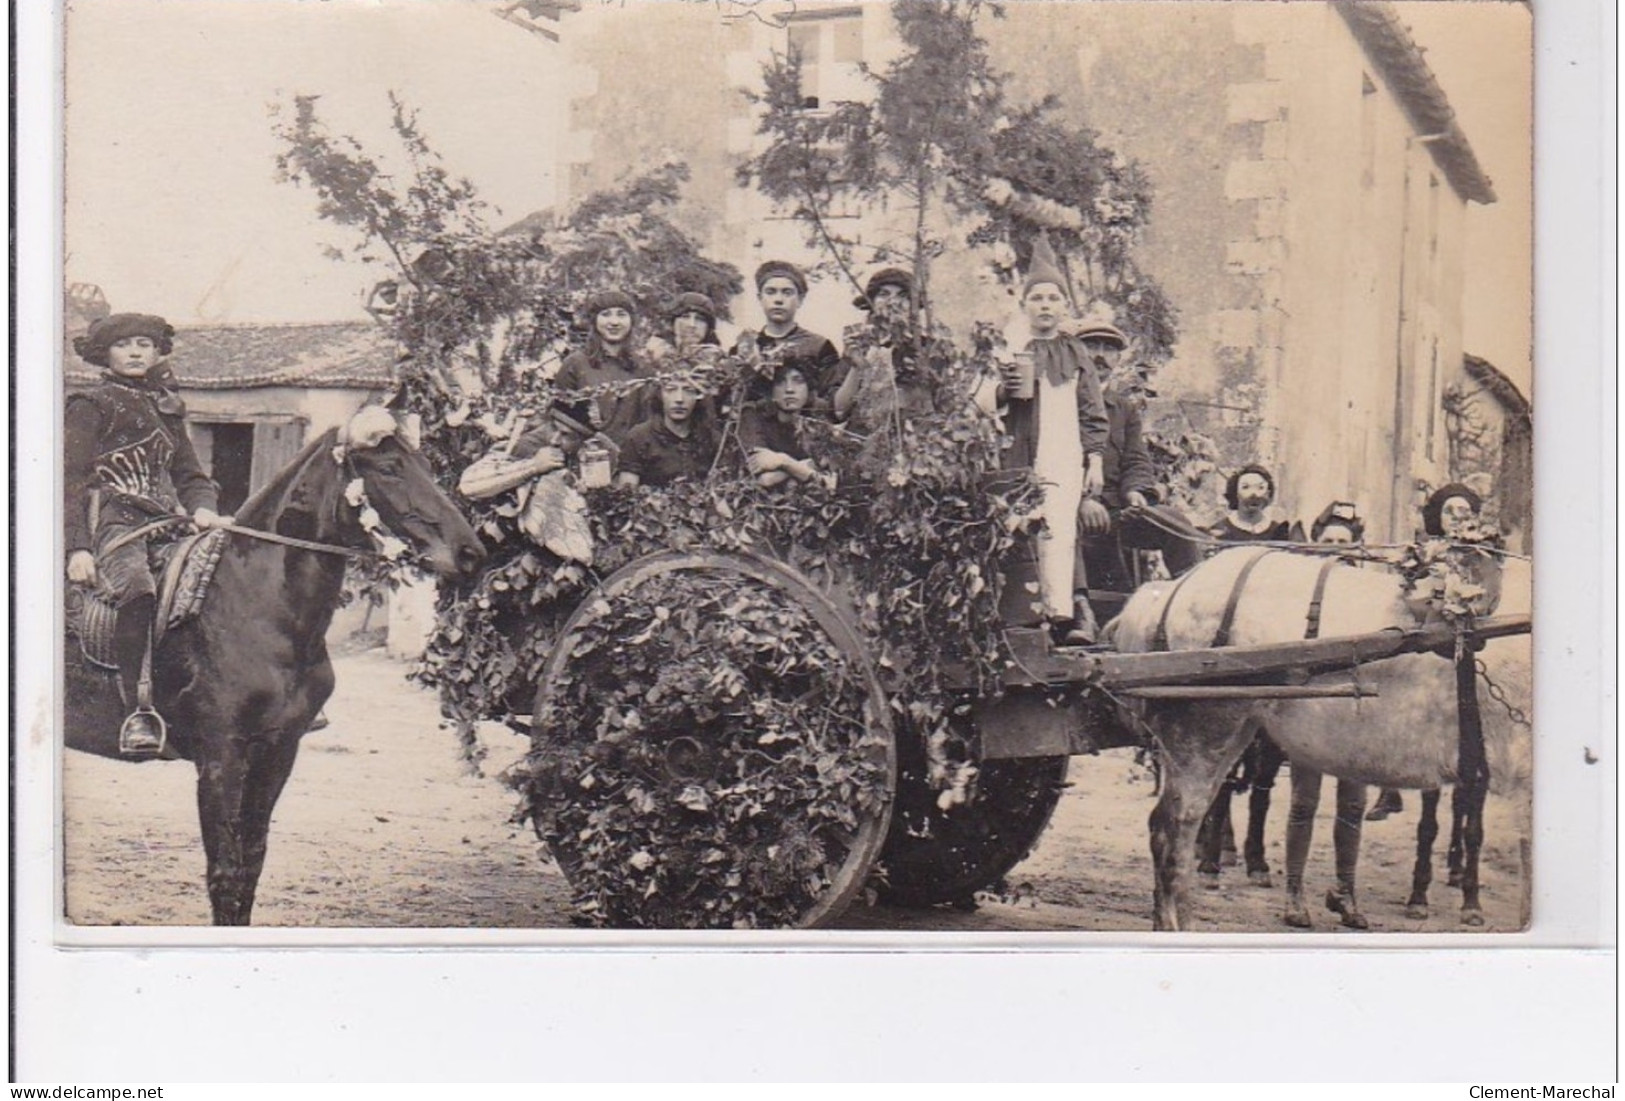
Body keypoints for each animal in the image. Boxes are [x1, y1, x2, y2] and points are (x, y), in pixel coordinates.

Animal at [66, 405, 484, 922]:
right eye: (389, 468)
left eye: (425, 465)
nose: (470, 553)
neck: (256, 604)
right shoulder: (221, 754)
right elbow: (225, 874)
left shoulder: (278, 751)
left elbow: (250, 867)